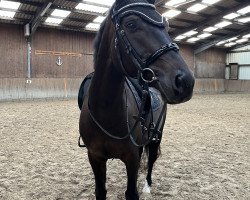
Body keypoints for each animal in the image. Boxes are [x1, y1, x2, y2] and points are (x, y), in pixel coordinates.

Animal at [78, 0, 195, 199]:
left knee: (151, 160)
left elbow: (132, 192)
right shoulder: (94, 157)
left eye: (166, 26)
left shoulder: (131, 158)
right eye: (131, 24)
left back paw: (147, 185)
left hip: (156, 137)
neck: (106, 111)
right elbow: (100, 191)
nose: (185, 81)